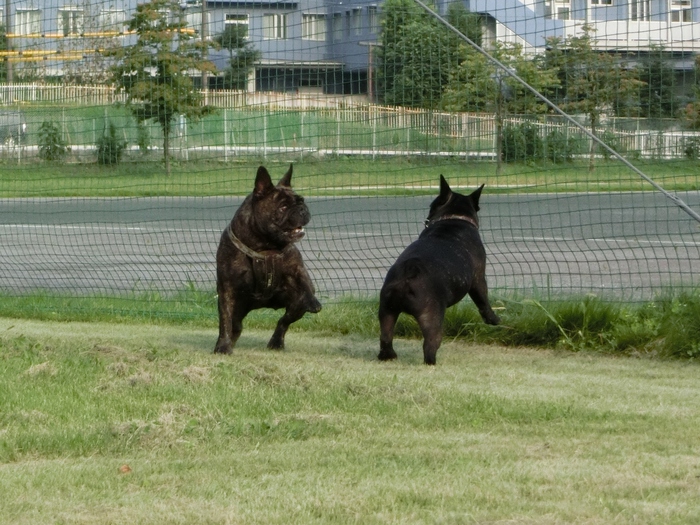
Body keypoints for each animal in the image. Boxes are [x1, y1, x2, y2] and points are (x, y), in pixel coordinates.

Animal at [215, 164, 322, 352]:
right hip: (238, 308)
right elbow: (225, 321)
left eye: (302, 201)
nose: (302, 209)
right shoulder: (226, 289)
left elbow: (305, 283)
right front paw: (223, 347)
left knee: (284, 321)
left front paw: (313, 301)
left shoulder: (297, 269)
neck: (265, 246)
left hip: (295, 305)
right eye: (283, 207)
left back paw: (276, 342)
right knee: (235, 325)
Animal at [380, 176, 500, 364]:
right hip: (432, 316)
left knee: (386, 337)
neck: (453, 218)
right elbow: (483, 301)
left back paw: (388, 356)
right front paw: (493, 319)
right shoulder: (478, 279)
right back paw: (432, 363)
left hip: (387, 310)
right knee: (430, 345)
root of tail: (409, 272)